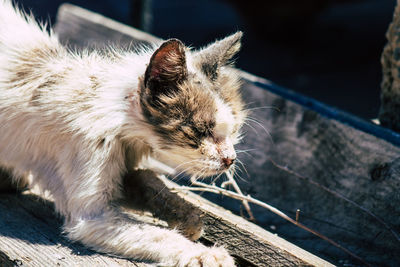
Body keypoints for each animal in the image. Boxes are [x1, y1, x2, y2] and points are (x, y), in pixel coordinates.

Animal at [0, 1, 247, 266]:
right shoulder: (93, 215)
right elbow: (154, 234)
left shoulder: (124, 166)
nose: (230, 159)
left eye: (233, 131)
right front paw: (204, 253)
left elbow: (145, 177)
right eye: (201, 131)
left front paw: (185, 216)